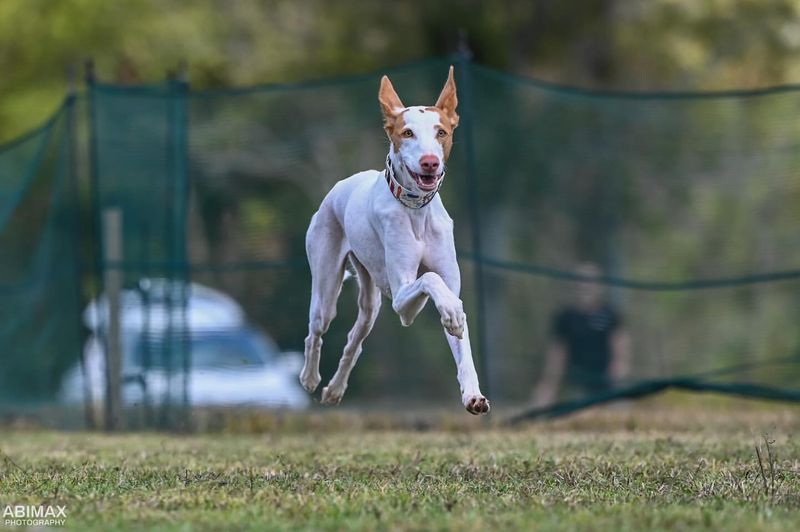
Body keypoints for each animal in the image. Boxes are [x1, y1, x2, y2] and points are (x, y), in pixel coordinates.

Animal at [298, 66, 490, 416]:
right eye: (408, 133)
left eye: (441, 132)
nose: (429, 162)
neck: (417, 211)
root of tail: (340, 186)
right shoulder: (403, 301)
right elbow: (430, 279)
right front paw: (452, 312)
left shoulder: (445, 286)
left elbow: (462, 345)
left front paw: (473, 394)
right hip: (326, 286)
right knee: (315, 330)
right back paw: (309, 377)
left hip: (370, 304)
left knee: (355, 338)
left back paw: (335, 389)